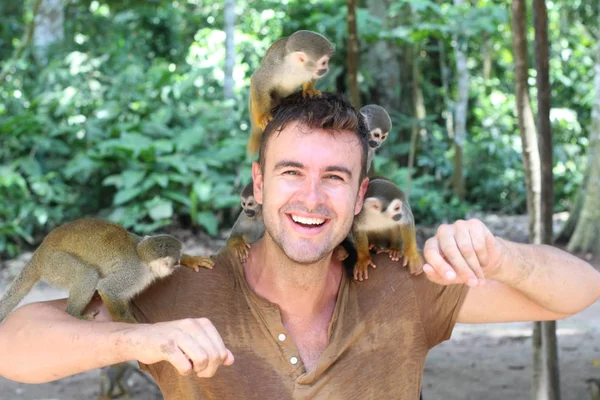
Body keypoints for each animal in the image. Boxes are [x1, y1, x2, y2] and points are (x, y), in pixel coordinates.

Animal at [0, 217, 206, 324]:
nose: (178, 264)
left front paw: (192, 259)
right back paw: (74, 314)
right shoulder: (134, 274)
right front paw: (128, 323)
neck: (142, 257)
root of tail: (39, 253)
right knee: (88, 274)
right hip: (55, 264)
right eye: (175, 264)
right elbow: (109, 289)